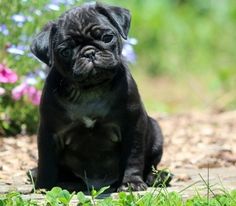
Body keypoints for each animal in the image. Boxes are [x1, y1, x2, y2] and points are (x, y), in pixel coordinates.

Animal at [30, 2, 163, 192]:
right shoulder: (49, 132)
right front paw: (44, 187)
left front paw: (131, 183)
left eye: (107, 38)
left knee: (151, 165)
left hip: (156, 133)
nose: (89, 52)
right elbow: (47, 162)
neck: (90, 90)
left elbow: (133, 157)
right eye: (65, 51)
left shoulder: (133, 126)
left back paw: (159, 177)